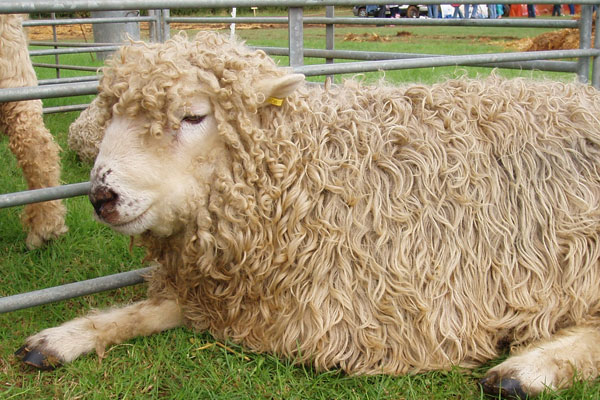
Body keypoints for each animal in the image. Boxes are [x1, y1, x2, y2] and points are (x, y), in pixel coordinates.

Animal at [14, 32, 600, 398]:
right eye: (109, 113)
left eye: (194, 115)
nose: (101, 196)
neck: (308, 174)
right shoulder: (241, 296)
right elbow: (150, 308)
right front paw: (62, 338)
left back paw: (526, 370)